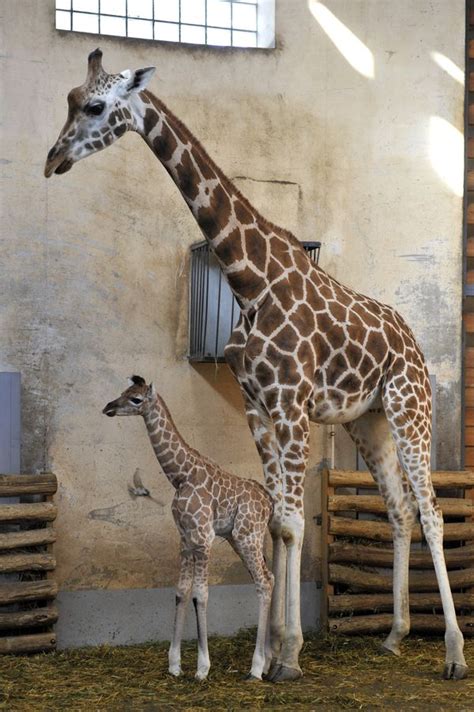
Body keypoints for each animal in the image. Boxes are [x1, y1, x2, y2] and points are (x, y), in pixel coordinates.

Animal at [103, 376, 274, 680]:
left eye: (136, 399)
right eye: (123, 392)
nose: (108, 407)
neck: (181, 476)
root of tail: (268, 501)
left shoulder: (203, 537)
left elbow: (200, 595)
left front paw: (202, 667)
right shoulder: (184, 538)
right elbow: (181, 592)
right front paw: (174, 664)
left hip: (246, 537)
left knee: (263, 582)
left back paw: (255, 668)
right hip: (244, 538)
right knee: (270, 577)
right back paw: (266, 662)